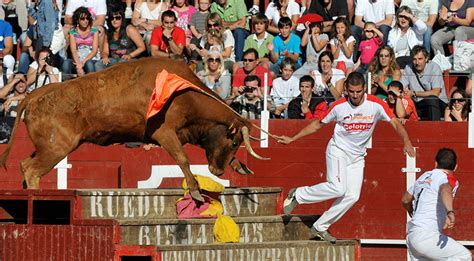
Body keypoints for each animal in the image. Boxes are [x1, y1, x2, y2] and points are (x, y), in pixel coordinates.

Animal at [0, 57, 266, 201]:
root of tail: (35, 94)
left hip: (47, 147)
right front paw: (196, 191)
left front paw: (240, 166)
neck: (184, 92)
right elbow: (182, 158)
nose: (218, 171)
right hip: (56, 148)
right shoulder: (165, 133)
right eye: (234, 142)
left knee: (24, 164)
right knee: (32, 170)